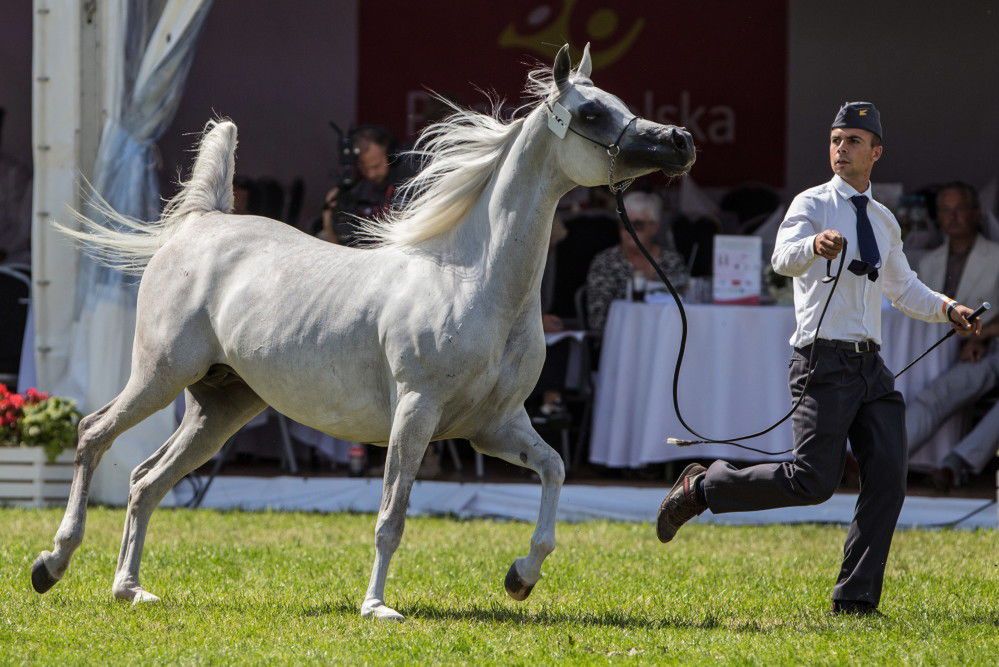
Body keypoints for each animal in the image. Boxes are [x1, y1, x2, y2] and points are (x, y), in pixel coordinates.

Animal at [37, 45, 696, 620]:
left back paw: (130, 589)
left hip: (220, 406)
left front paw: (520, 577)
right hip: (160, 375)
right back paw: (51, 564)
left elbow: (555, 469)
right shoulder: (416, 412)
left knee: (146, 481)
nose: (679, 141)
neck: (470, 280)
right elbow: (391, 516)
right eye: (591, 113)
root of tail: (202, 223)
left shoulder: (494, 427)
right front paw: (377, 607)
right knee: (93, 434)